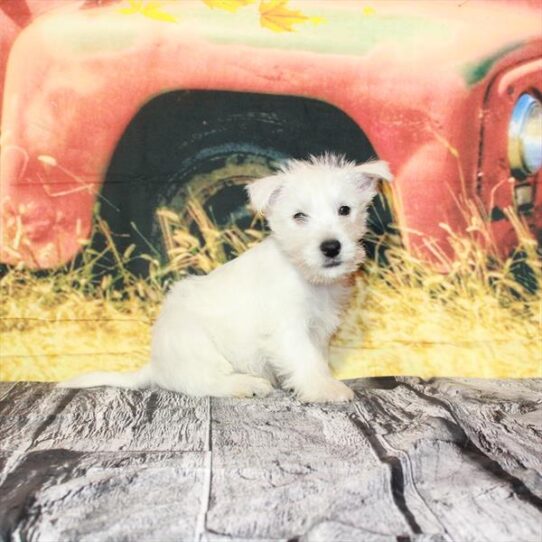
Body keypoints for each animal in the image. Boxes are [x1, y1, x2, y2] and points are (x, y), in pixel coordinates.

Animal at [61, 155, 394, 402]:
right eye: (299, 216)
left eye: (344, 210)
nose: (331, 247)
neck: (303, 274)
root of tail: (155, 364)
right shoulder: (287, 329)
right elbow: (305, 360)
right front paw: (325, 388)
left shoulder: (319, 331)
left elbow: (316, 359)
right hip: (196, 345)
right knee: (202, 383)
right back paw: (246, 384)